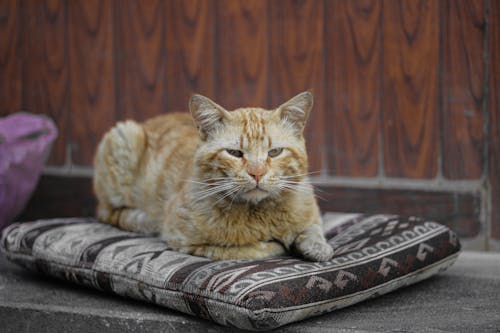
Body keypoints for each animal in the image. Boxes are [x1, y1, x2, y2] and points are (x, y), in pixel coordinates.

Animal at [93, 90, 336, 260]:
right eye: (235, 153)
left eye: (274, 152)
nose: (257, 173)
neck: (259, 213)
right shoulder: (184, 239)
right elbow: (255, 249)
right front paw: (277, 244)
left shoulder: (310, 211)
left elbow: (314, 230)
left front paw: (316, 246)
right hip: (124, 137)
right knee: (109, 212)